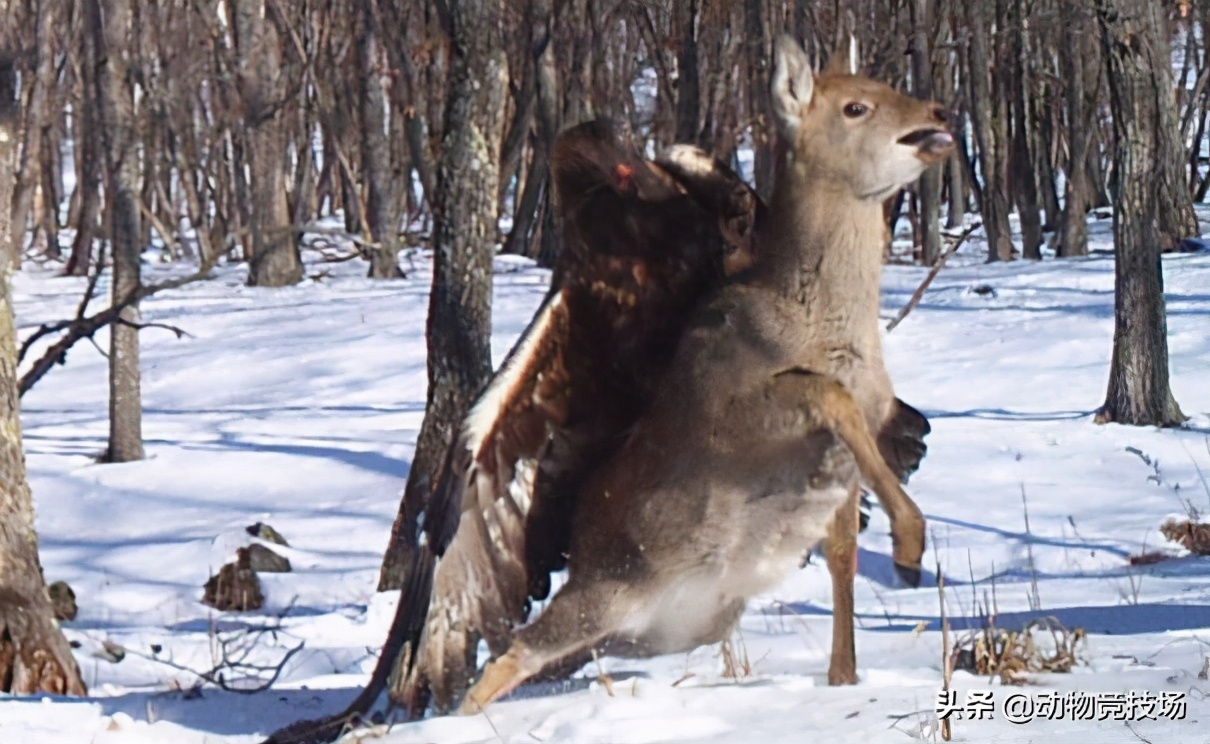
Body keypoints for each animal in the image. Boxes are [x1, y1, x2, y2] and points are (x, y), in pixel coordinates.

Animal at [457, 34, 948, 711]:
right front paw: (909, 546)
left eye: (886, 84)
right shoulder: (733, 415)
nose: (940, 114)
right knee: (512, 652)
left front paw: (845, 675)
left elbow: (843, 553)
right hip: (608, 589)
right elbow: (824, 393)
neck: (828, 330)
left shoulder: (853, 452)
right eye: (855, 106)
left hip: (666, 625)